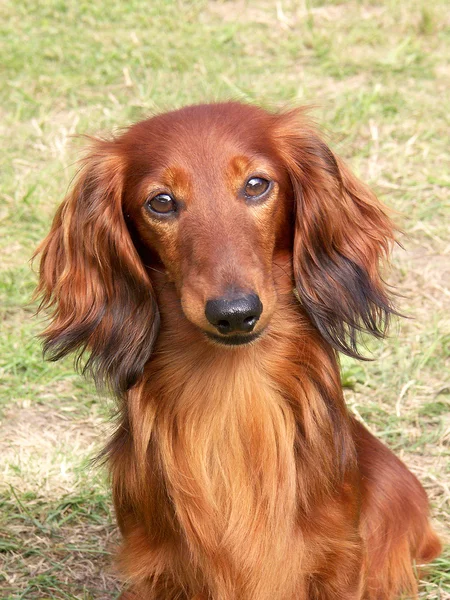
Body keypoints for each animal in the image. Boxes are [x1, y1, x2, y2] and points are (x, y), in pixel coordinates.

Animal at [36, 101, 442, 596]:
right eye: (161, 202)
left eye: (255, 185)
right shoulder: (156, 570)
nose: (234, 313)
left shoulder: (339, 561)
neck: (233, 398)